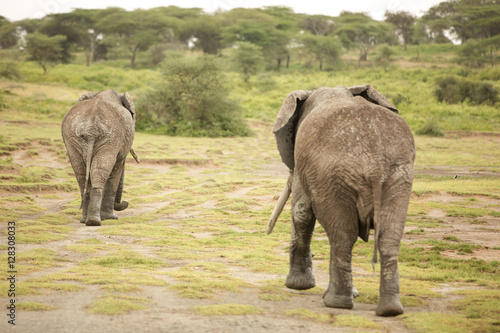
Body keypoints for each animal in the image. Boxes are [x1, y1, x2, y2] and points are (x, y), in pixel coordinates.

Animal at [63, 89, 141, 226]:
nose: (125, 203)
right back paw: (95, 221)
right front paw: (110, 217)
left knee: (81, 172)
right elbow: (117, 167)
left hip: (73, 137)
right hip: (110, 136)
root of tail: (90, 128)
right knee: (102, 168)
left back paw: (86, 220)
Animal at [268, 84, 416, 316]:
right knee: (388, 236)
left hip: (335, 175)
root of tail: (374, 160)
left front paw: (298, 285)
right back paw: (390, 310)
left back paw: (337, 303)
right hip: (397, 176)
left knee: (343, 236)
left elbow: (301, 212)